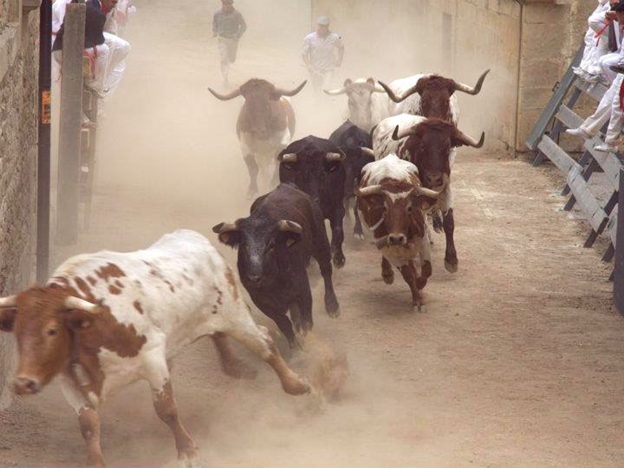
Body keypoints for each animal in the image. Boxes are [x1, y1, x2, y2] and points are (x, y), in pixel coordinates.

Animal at [0, 230, 310, 468]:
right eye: (17, 331)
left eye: (52, 330)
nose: (23, 382)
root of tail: (198, 239)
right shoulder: (69, 380)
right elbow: (88, 424)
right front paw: (95, 461)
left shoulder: (152, 359)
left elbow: (166, 409)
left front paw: (188, 452)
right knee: (220, 336)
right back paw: (237, 367)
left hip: (234, 314)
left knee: (264, 343)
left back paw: (296, 384)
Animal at [214, 183, 342, 348]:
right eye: (243, 245)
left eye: (271, 245)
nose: (254, 278)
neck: (273, 279)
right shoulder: (260, 300)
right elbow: (284, 323)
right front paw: (295, 347)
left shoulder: (303, 290)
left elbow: (307, 323)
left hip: (321, 244)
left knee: (326, 271)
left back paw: (332, 306)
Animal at [356, 155, 444, 312]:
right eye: (385, 208)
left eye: (409, 208)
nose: (396, 238)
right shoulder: (389, 249)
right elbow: (408, 275)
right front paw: (417, 300)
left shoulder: (423, 241)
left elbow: (427, 270)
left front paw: (420, 286)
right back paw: (387, 274)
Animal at [372, 114, 486, 274]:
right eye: (423, 146)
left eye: (447, 148)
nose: (433, 178)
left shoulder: (445, 190)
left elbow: (449, 222)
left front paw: (451, 259)